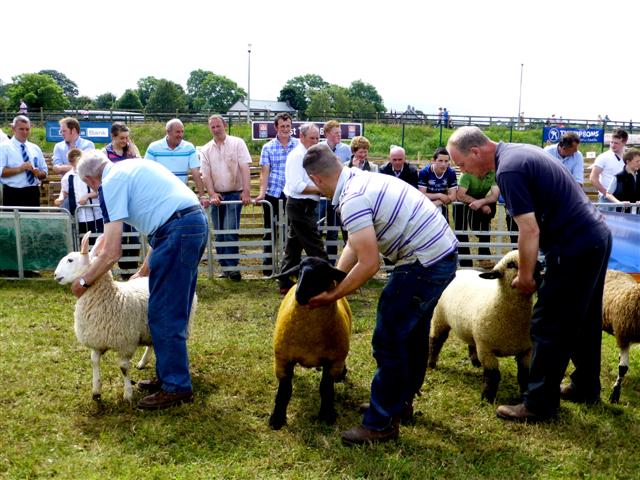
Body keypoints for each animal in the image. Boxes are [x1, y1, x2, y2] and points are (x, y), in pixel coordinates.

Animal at [268, 256, 352, 430]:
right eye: (299, 270)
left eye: (324, 272)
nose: (300, 293)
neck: (310, 336)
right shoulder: (283, 359)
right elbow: (284, 391)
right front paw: (277, 419)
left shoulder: (333, 361)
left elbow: (326, 388)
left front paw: (327, 415)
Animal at [430, 249, 540, 404]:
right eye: (511, 265)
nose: (540, 265)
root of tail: (460, 271)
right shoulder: (486, 350)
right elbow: (492, 375)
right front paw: (487, 398)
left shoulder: (526, 350)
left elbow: (524, 375)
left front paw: (524, 395)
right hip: (439, 318)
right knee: (436, 341)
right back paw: (431, 364)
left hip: (471, 328)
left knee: (471, 342)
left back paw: (475, 362)